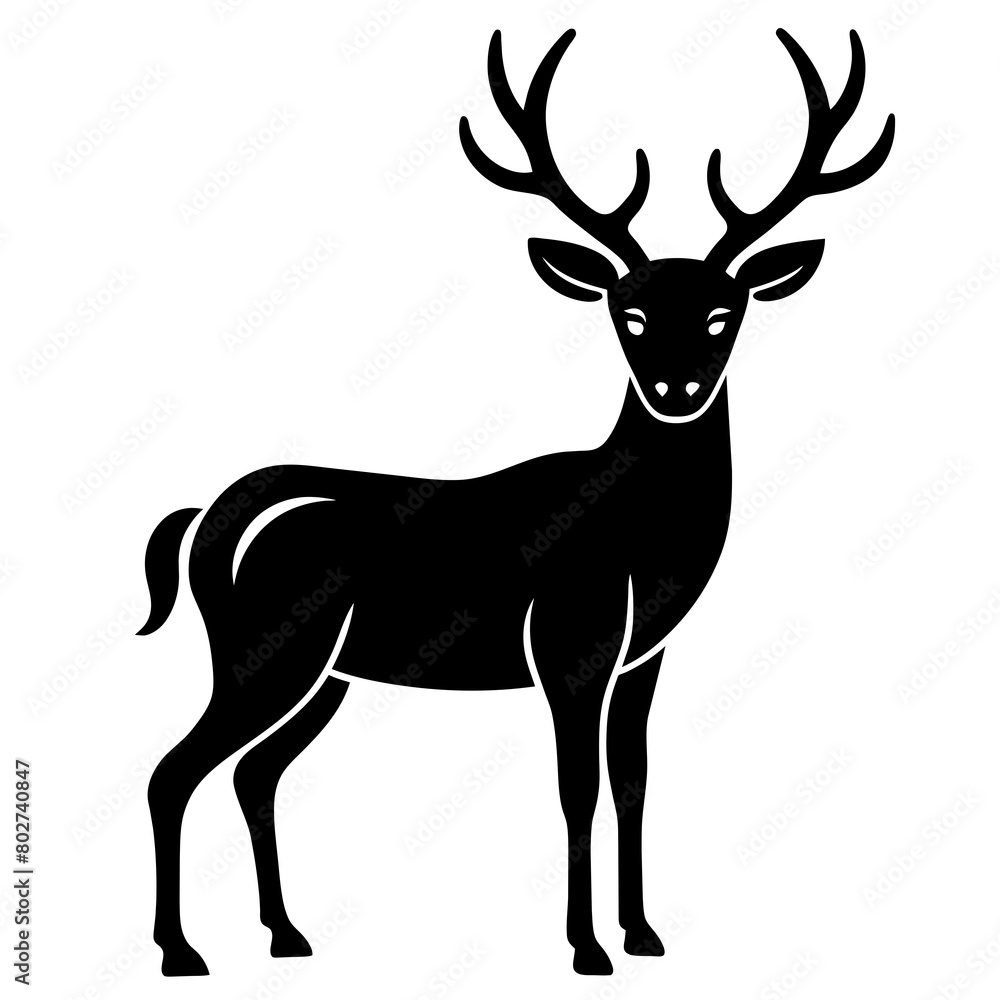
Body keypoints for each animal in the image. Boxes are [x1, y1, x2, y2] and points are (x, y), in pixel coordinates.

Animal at [138, 27, 893, 977]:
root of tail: (205, 520)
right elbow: (578, 789)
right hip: (264, 648)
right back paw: (181, 951)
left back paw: (286, 935)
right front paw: (587, 949)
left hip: (321, 671)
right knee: (174, 770)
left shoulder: (644, 658)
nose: (676, 388)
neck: (643, 540)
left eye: (726, 312)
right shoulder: (570, 639)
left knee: (252, 772)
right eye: (627, 312)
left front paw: (645, 935)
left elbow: (634, 782)